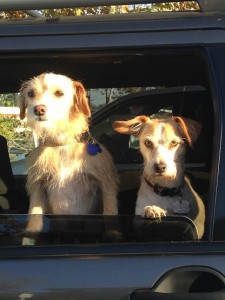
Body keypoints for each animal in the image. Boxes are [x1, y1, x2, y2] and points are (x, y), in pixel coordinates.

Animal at [19, 72, 118, 232]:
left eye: (59, 93)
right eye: (31, 93)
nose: (38, 109)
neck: (61, 143)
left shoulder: (106, 182)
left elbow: (110, 210)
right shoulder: (37, 185)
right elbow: (34, 213)